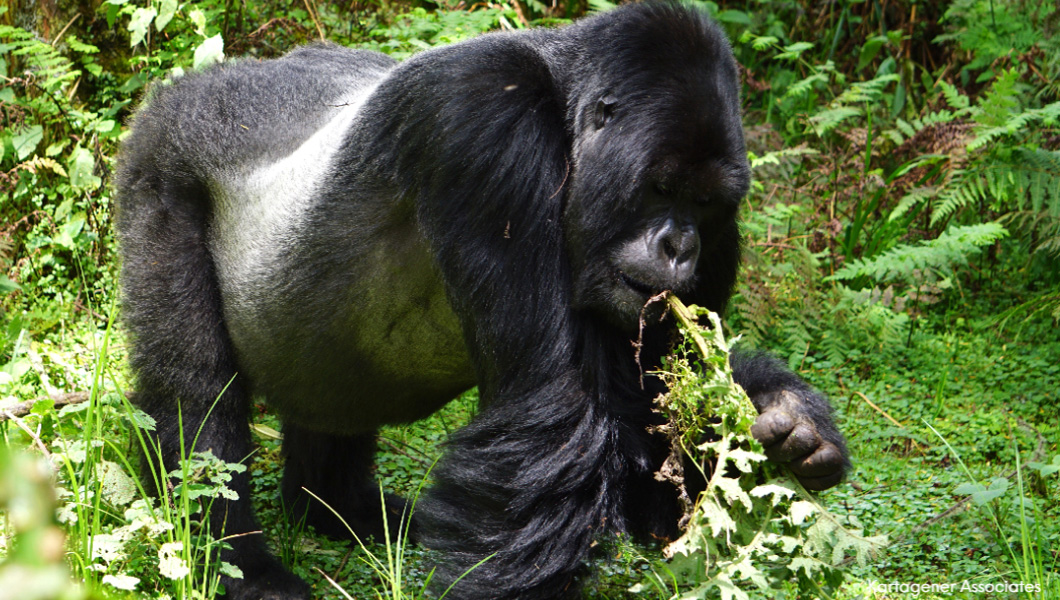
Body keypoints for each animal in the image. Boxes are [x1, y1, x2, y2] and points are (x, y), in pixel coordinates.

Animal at [116, 2, 847, 597]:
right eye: (662, 189)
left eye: (705, 205)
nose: (680, 248)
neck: (561, 102)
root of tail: (210, 79)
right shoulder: (489, 120)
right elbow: (553, 425)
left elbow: (657, 442)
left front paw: (787, 416)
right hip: (164, 157)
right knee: (194, 393)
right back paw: (235, 564)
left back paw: (341, 509)